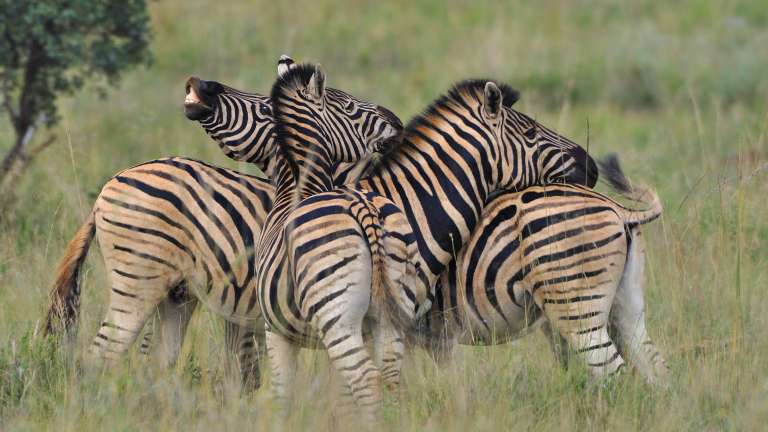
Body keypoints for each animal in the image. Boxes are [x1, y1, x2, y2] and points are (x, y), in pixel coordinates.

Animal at [415, 155, 669, 384]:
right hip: (626, 303)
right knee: (654, 366)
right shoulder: (437, 338)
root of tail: (618, 208)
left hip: (577, 305)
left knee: (613, 373)